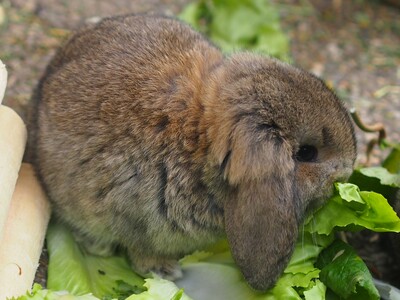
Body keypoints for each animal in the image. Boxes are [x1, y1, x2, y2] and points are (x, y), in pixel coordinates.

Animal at [30, 13, 356, 290]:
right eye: (306, 153)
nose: (349, 168)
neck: (198, 141)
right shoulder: (136, 221)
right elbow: (141, 252)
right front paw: (165, 272)